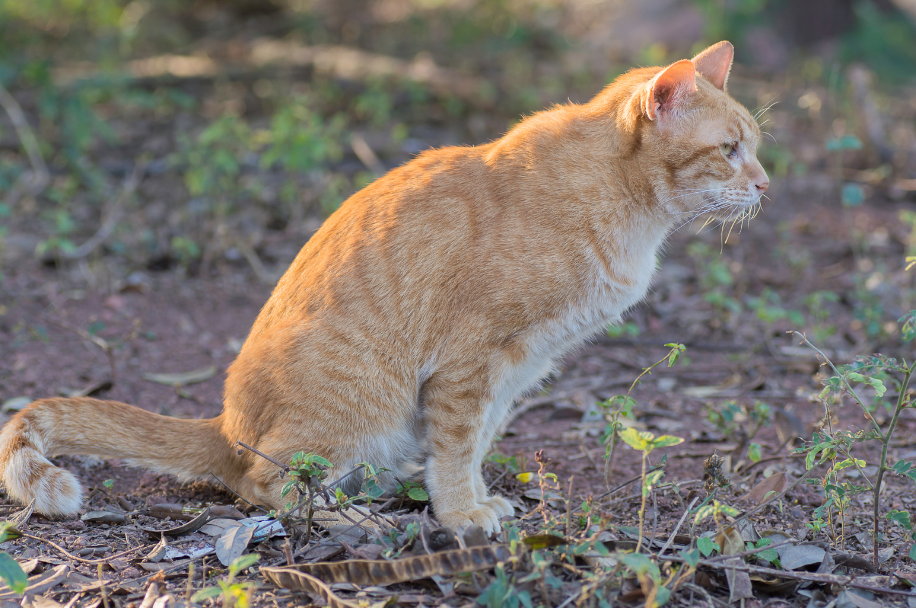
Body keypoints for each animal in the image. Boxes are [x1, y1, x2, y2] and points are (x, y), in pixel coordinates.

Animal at [0, 41, 764, 532]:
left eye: (752, 146)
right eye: (729, 151)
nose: (764, 185)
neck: (625, 208)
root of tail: (223, 426)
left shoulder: (517, 368)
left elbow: (474, 441)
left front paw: (464, 498)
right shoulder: (472, 360)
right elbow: (458, 444)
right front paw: (460, 515)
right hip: (363, 401)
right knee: (265, 486)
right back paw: (353, 516)